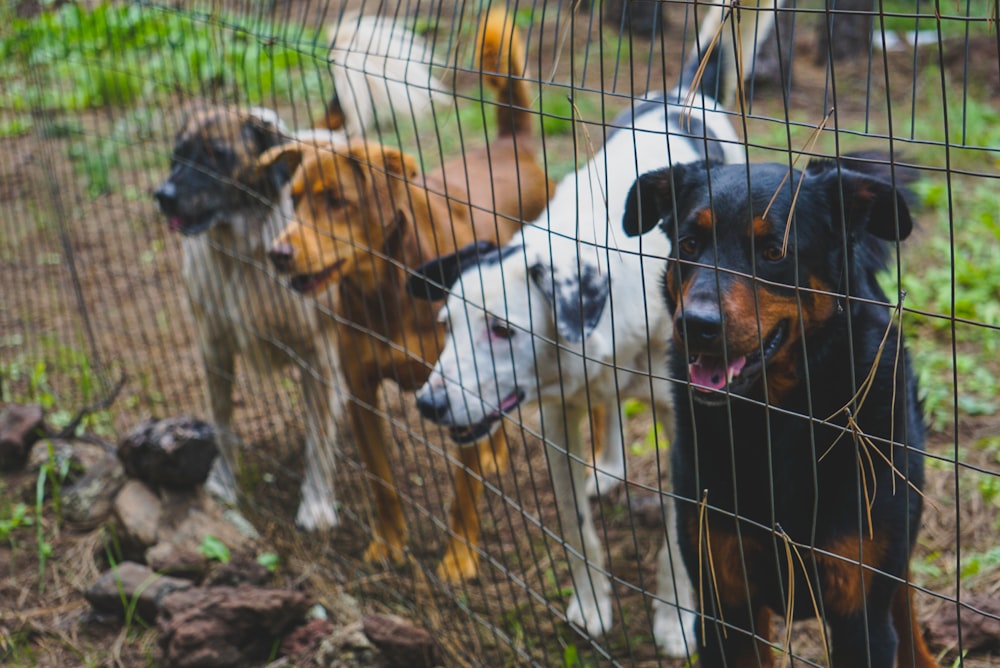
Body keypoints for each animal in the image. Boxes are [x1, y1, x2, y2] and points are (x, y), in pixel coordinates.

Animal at [155, 14, 446, 532]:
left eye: (217, 156)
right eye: (178, 154)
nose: (162, 196)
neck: (245, 253)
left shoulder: (320, 357)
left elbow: (319, 441)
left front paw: (315, 504)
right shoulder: (214, 347)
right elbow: (222, 424)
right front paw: (223, 484)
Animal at [406, 3, 780, 652]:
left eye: (501, 330)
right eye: (447, 325)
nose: (428, 404)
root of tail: (685, 93)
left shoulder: (687, 423)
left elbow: (677, 543)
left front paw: (676, 621)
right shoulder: (557, 421)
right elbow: (576, 529)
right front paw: (590, 604)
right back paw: (605, 467)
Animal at [624, 158, 936, 668]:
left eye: (774, 252)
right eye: (689, 244)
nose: (696, 325)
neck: (775, 421)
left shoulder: (861, 618)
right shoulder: (724, 604)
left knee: (904, 601)